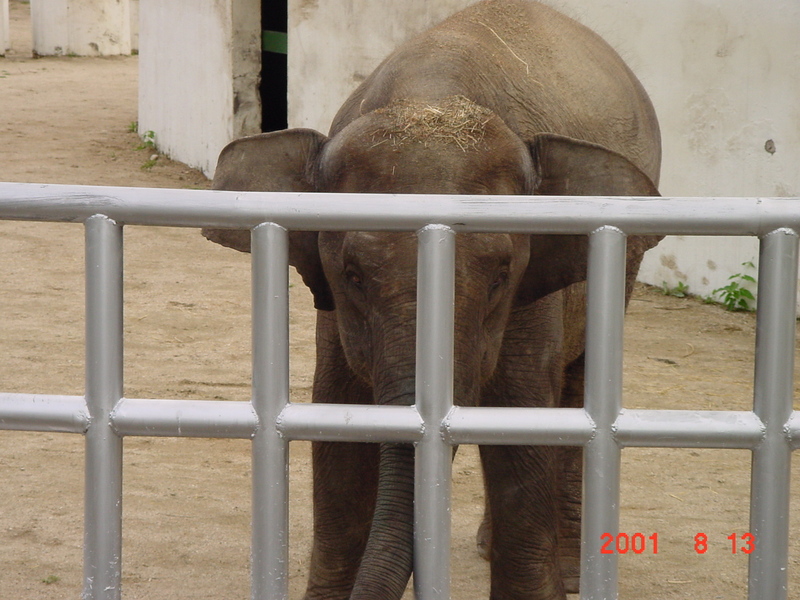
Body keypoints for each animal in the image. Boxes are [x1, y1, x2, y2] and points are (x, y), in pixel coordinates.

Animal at [202, 1, 664, 600]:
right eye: (352, 274)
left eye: (501, 275)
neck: (433, 94)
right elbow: (339, 425)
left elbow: (521, 419)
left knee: (575, 386)